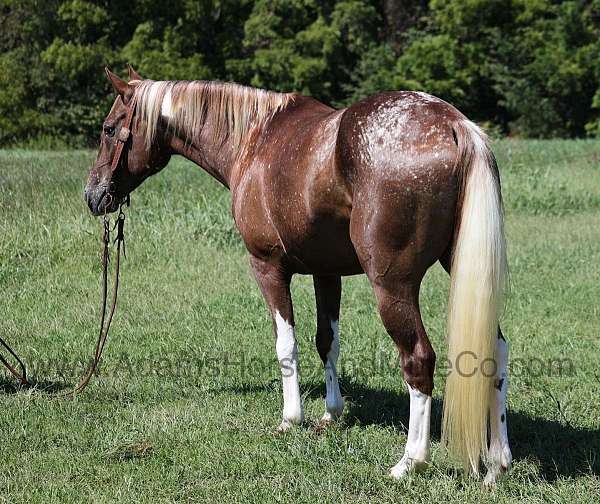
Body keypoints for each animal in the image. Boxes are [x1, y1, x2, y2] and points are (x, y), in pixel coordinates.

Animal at [84, 67, 512, 484]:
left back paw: (410, 462)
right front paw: (331, 414)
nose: (93, 195)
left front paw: (291, 419)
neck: (254, 140)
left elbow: (286, 343)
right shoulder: (327, 273)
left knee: (418, 359)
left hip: (392, 287)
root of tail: (455, 125)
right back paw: (497, 462)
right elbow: (327, 342)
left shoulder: (268, 267)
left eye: (108, 129)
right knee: (495, 350)